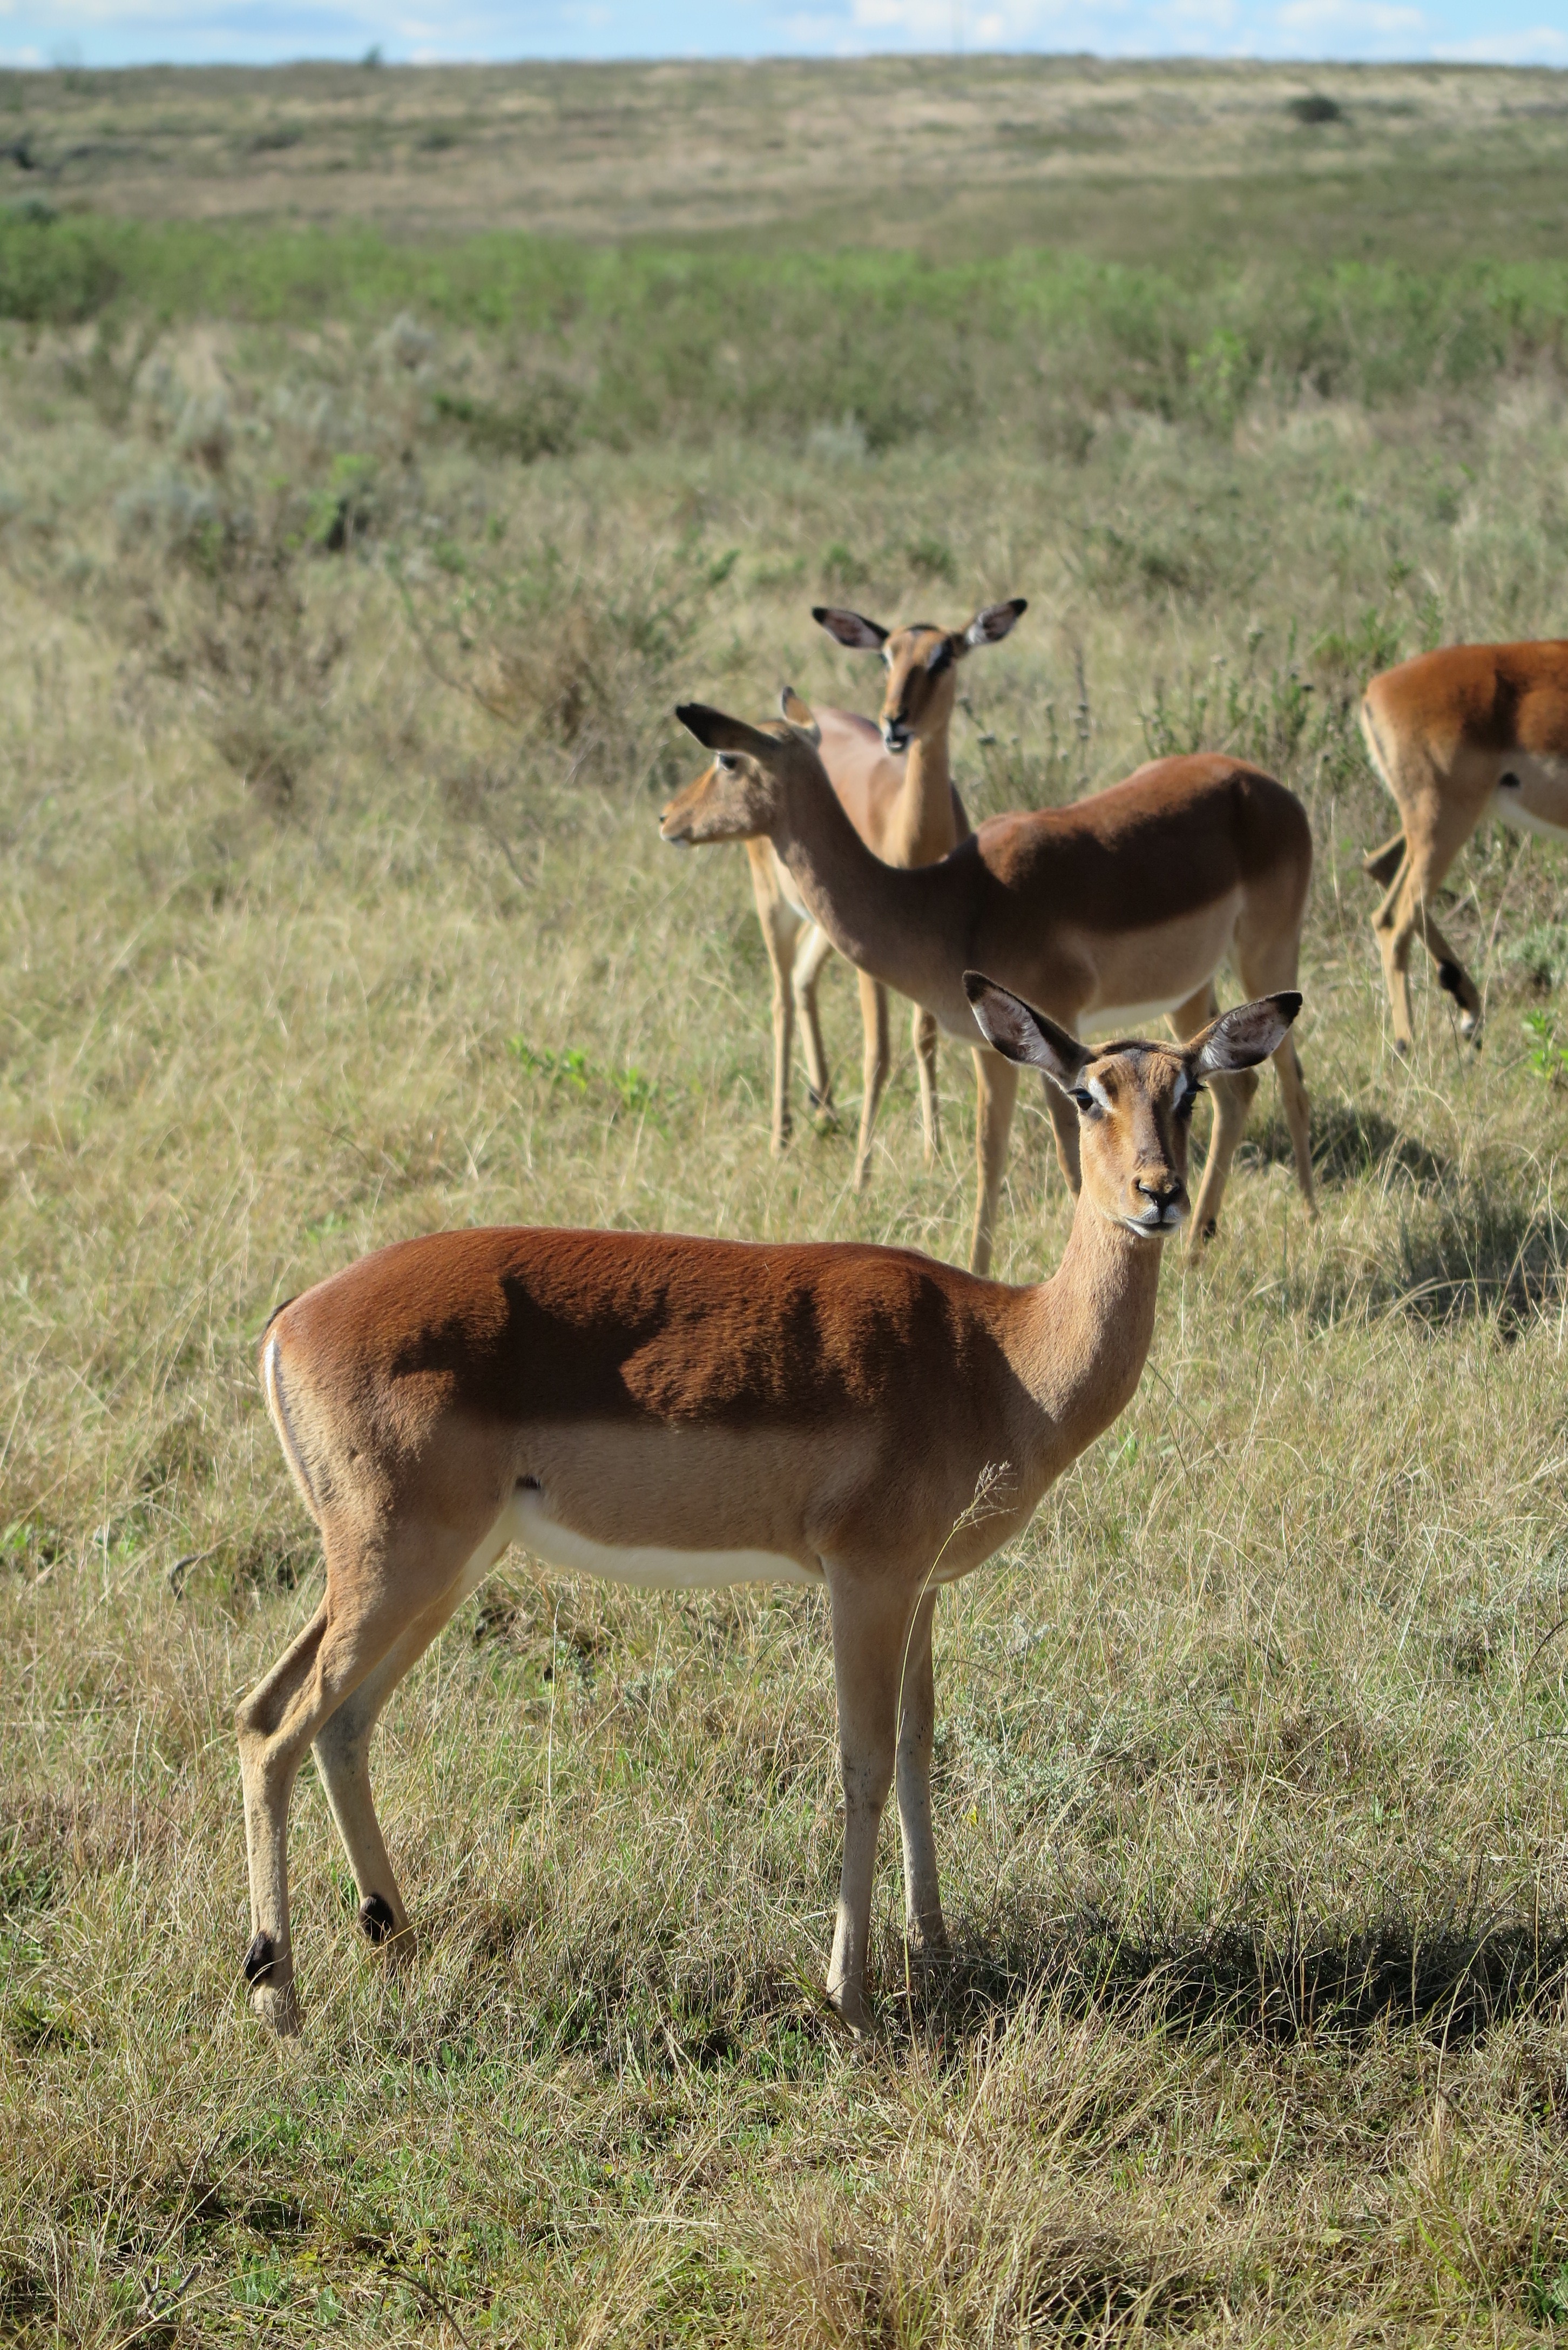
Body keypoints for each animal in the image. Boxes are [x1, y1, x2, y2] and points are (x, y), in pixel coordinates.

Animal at [239, 979, 1301, 2037]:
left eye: (1187, 1092)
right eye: (1087, 1093)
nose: (1158, 1195)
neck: (996, 1356)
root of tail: (292, 1319)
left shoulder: (921, 1589)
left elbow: (918, 1752)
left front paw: (936, 1952)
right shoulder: (864, 1580)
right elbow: (862, 1761)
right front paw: (851, 1998)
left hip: (435, 1568)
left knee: (323, 1720)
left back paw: (396, 1942)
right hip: (401, 1561)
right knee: (272, 1730)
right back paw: (280, 1996)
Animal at [662, 700, 1316, 1273]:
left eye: (728, 759)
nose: (669, 818)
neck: (953, 905)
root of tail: (1273, 789)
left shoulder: (1062, 1037)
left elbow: (1071, 1161)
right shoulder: (994, 1050)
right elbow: (988, 1154)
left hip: (1268, 955)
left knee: (1291, 1081)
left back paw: (1307, 1216)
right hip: (1190, 993)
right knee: (1240, 1087)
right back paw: (1197, 1246)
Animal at [741, 600, 1025, 1187]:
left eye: (944, 656)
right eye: (886, 656)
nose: (895, 721)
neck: (915, 842)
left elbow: (925, 1036)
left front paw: (931, 1151)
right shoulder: (875, 964)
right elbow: (878, 1052)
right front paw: (862, 1176)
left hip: (824, 929)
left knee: (803, 979)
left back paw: (824, 1108)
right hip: (773, 905)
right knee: (781, 998)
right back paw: (782, 1135)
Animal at [1359, 641, 1568, 1052]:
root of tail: (1376, 690)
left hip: (1432, 825)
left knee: (1379, 867)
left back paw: (1468, 1010)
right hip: (1444, 822)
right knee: (1394, 921)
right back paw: (1408, 1045)